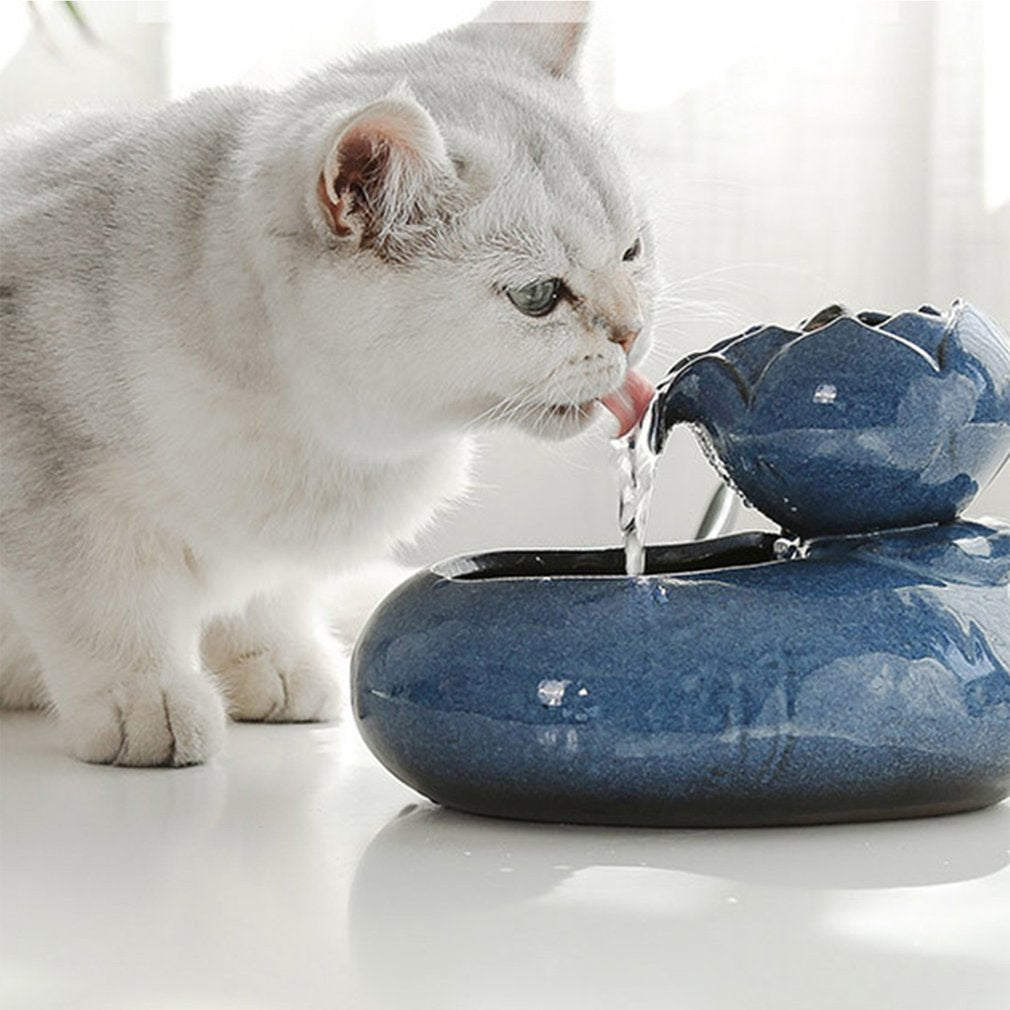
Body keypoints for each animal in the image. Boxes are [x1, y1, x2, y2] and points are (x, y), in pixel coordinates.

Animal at [0, 1, 654, 763]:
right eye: (538, 296)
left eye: (633, 253)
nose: (632, 330)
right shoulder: (59, 488)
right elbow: (106, 607)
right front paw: (146, 700)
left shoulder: (263, 534)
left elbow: (265, 596)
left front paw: (275, 664)